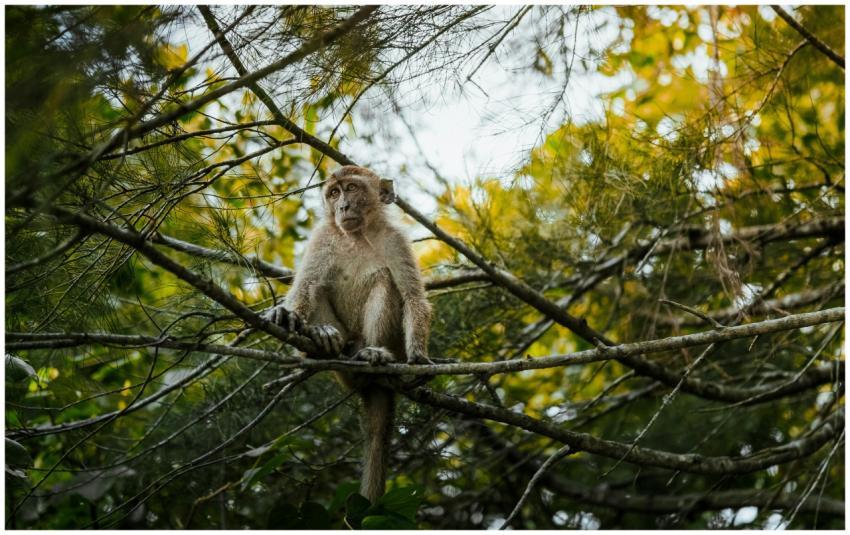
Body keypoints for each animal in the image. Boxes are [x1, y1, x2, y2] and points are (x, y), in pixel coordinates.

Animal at [267, 165, 432, 503]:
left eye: (352, 188)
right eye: (333, 193)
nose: (342, 207)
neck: (356, 236)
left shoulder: (396, 241)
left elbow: (412, 297)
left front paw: (419, 358)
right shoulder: (323, 237)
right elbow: (306, 284)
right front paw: (286, 315)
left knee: (385, 281)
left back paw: (374, 354)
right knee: (318, 286)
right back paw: (320, 339)